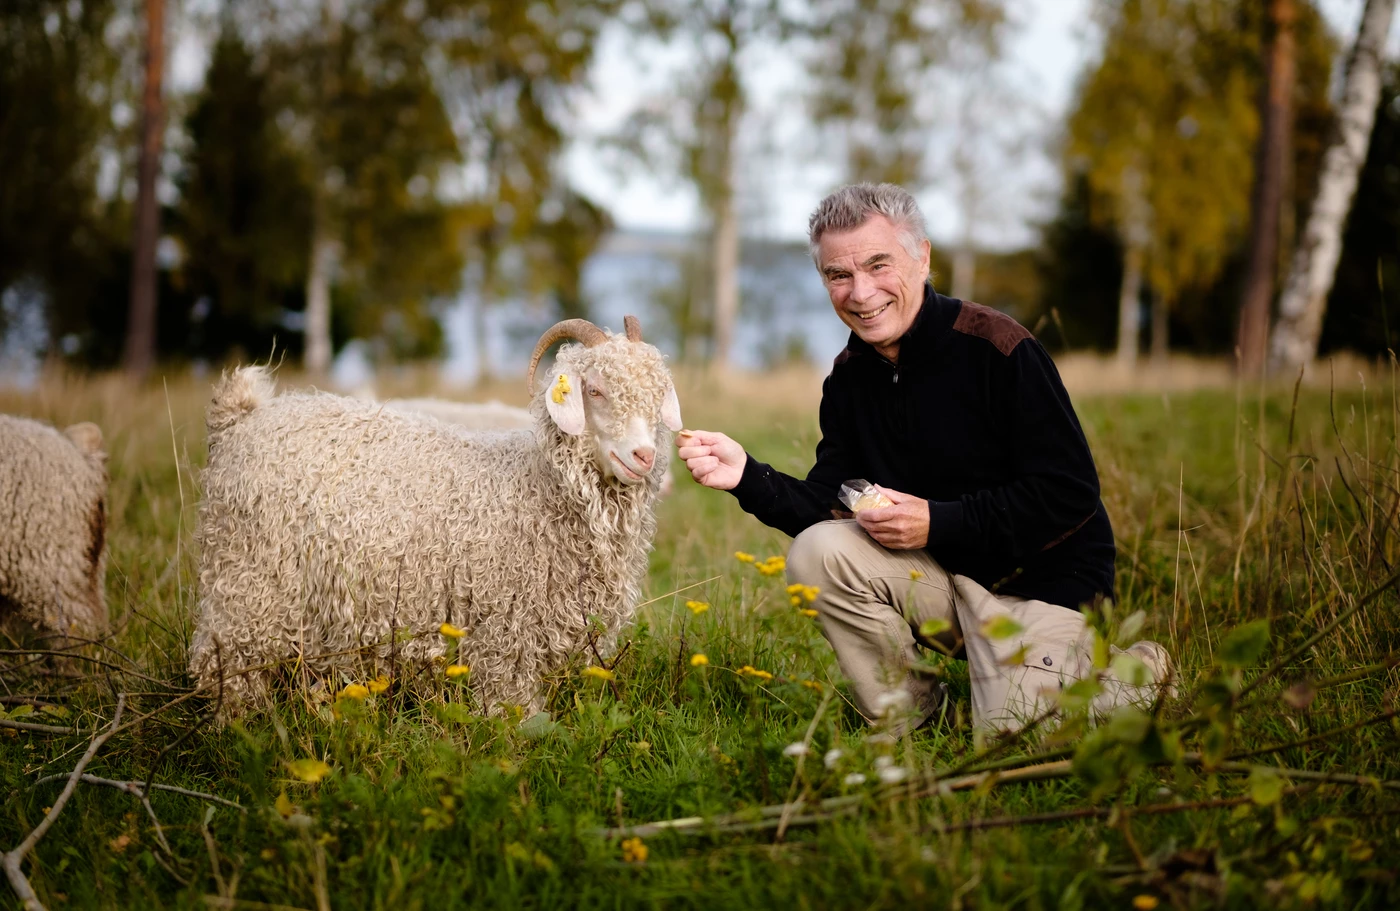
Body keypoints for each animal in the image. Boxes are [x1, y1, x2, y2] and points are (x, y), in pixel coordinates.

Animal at [191, 317, 683, 716]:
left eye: (659, 395)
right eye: (595, 389)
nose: (643, 456)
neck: (539, 490)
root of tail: (240, 418)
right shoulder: (503, 637)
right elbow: (513, 714)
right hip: (247, 586)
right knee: (225, 667)